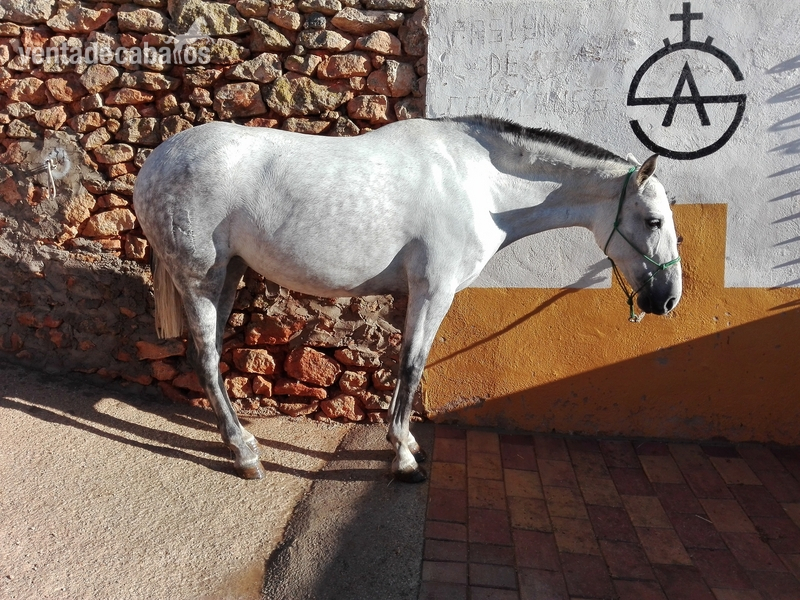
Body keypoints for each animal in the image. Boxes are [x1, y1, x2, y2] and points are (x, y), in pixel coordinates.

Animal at [132, 115, 682, 483]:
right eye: (653, 220)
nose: (668, 299)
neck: (477, 183)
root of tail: (157, 160)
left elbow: (406, 364)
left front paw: (407, 442)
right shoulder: (432, 290)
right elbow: (412, 365)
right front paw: (403, 456)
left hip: (230, 273)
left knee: (208, 357)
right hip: (201, 278)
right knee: (206, 358)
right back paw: (246, 455)